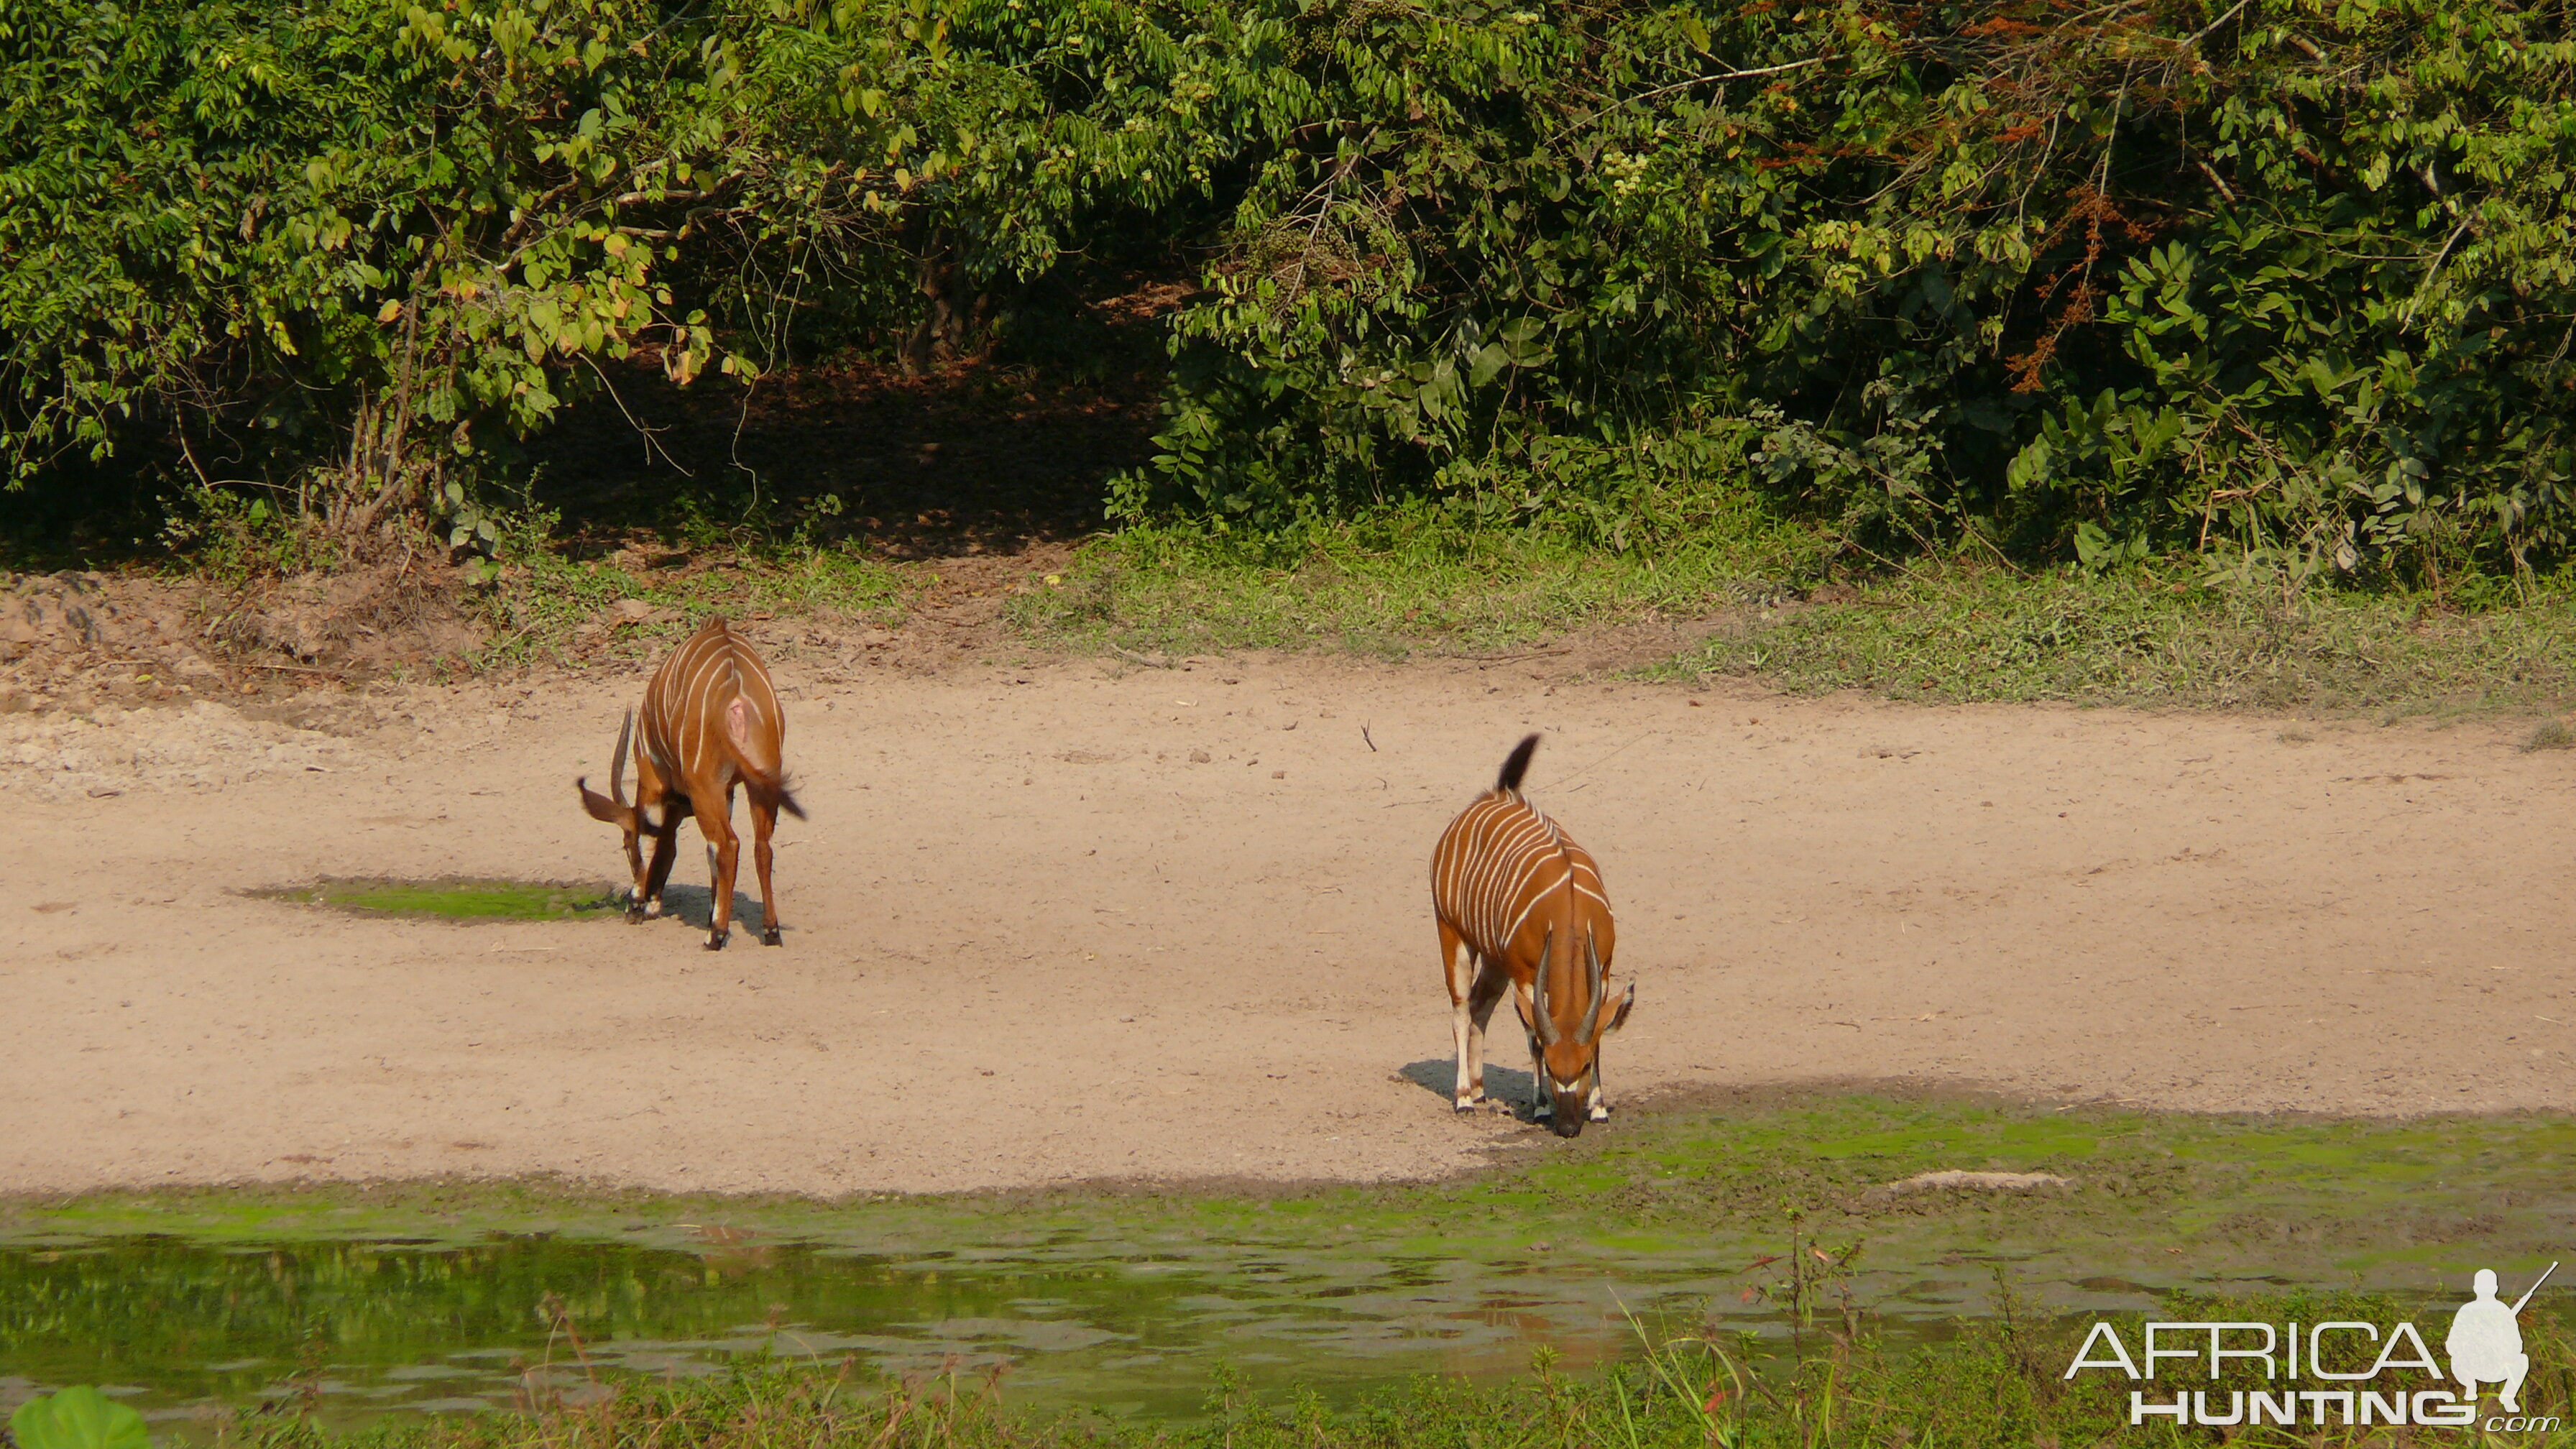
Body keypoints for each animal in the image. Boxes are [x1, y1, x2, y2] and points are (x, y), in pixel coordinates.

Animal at [576, 611, 799, 943]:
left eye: (626, 845)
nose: (634, 907)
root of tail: (735, 691)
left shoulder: (654, 777)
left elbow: (664, 840)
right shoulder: (727, 792)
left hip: (704, 785)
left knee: (728, 845)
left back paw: (715, 936)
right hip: (758, 785)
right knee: (761, 846)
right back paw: (770, 930)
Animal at [1432, 732, 1628, 1129]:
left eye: (1584, 1065)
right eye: (1551, 1070)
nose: (1568, 1125)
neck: (1569, 910)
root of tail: (1493, 797)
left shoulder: (1603, 969)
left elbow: (1599, 1033)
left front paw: (1599, 1107)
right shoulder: (1525, 973)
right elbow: (1533, 1036)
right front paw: (1540, 1106)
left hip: (1494, 961)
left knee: (1479, 1006)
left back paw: (1479, 1089)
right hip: (1452, 933)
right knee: (1460, 1009)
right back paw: (1464, 1097)